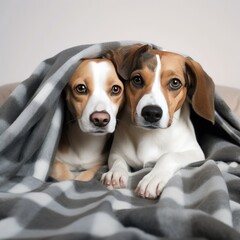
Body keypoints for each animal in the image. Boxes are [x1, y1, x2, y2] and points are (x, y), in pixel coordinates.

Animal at [100, 45, 215, 199]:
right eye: (137, 79)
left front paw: (153, 178)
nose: (152, 113)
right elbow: (118, 161)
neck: (150, 135)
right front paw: (115, 173)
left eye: (175, 83)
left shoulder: (195, 153)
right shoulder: (116, 152)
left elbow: (169, 156)